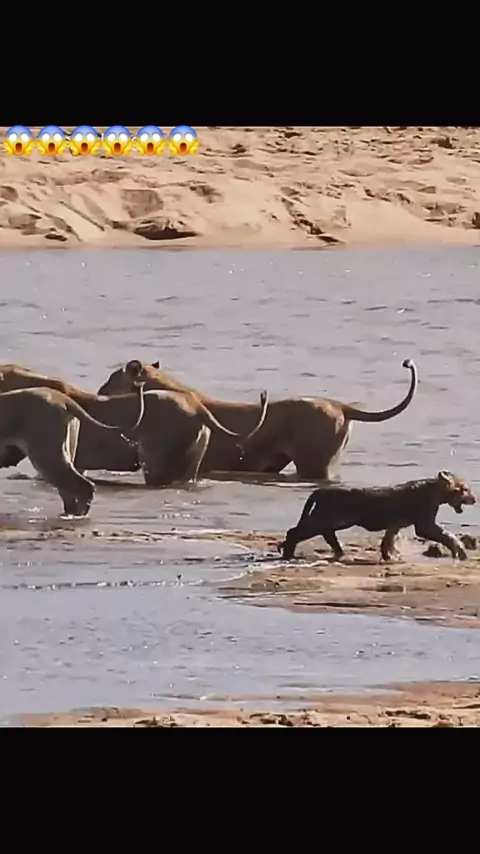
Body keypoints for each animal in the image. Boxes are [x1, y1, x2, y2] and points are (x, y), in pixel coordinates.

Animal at [279, 471, 476, 561]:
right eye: (465, 489)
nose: (474, 499)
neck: (435, 489)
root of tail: (321, 491)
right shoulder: (424, 525)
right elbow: (447, 535)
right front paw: (460, 551)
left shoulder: (396, 525)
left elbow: (388, 541)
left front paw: (389, 556)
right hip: (326, 519)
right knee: (294, 532)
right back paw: (288, 555)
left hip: (328, 520)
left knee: (325, 535)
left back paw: (340, 552)